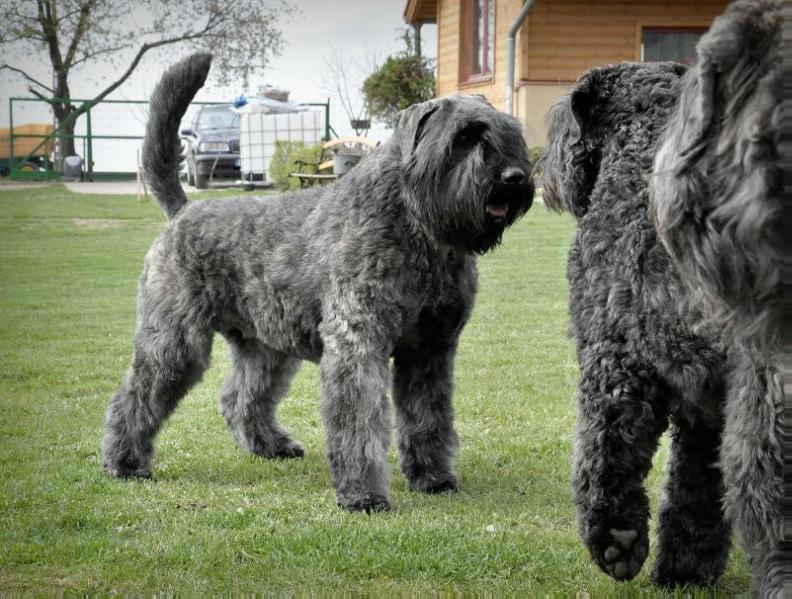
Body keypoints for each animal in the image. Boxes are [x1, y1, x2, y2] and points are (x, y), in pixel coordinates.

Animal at [102, 52, 536, 510]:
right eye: (463, 138)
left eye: (509, 133)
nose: (513, 177)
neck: (416, 225)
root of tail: (183, 211)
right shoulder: (357, 342)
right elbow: (358, 422)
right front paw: (363, 495)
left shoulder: (430, 348)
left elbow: (428, 417)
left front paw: (433, 477)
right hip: (174, 342)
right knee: (136, 396)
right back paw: (125, 462)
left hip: (266, 348)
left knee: (241, 398)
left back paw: (271, 445)